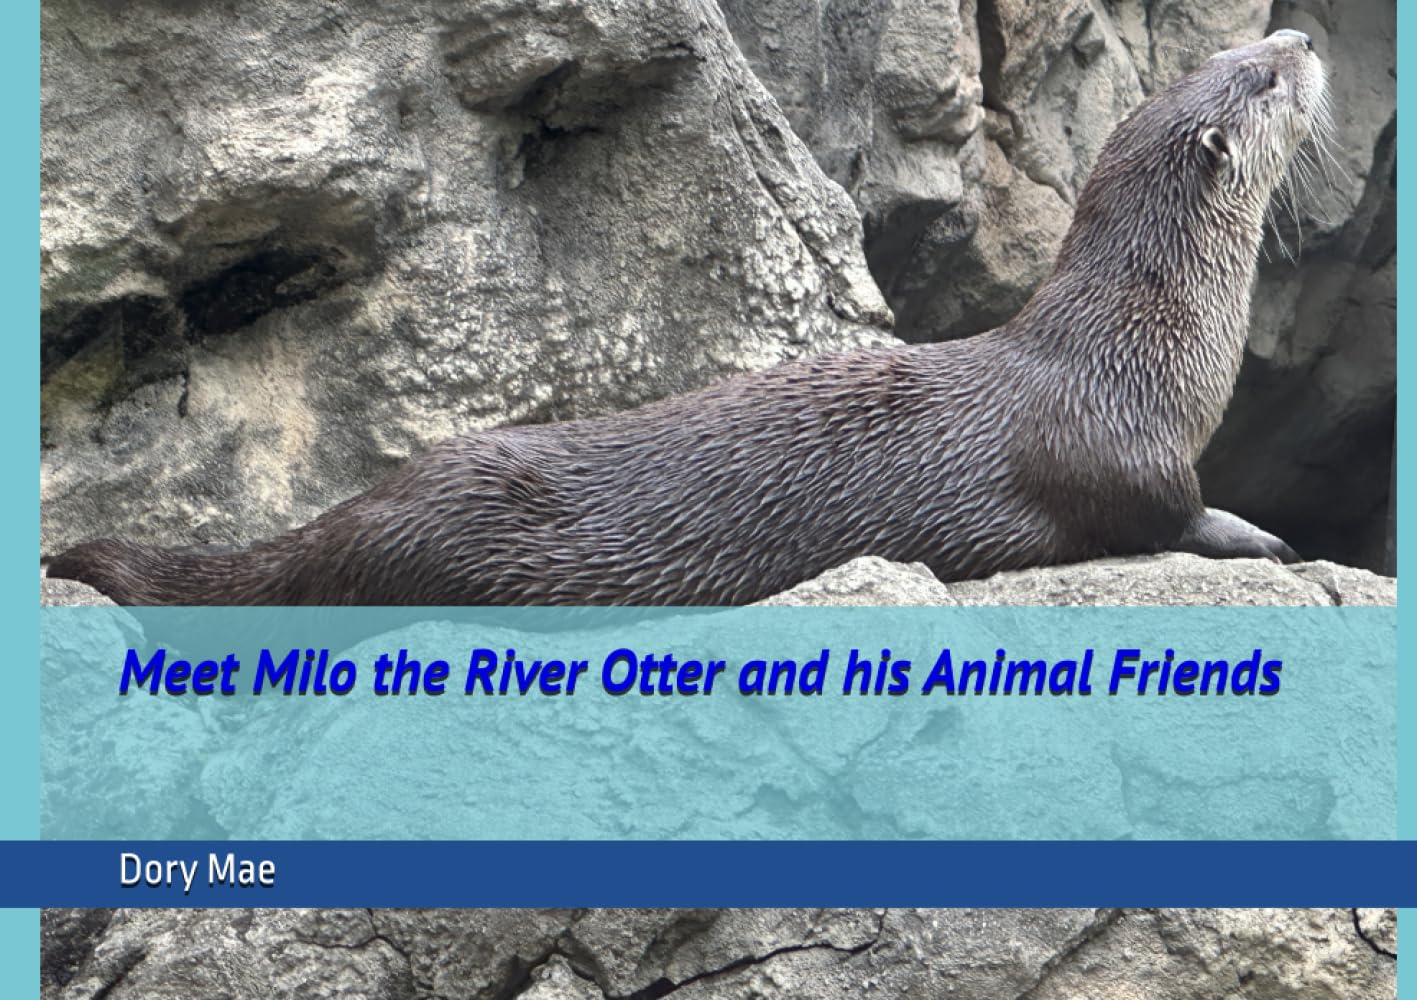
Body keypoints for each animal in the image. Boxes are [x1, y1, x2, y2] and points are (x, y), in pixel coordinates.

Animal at [50, 31, 1325, 606]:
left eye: (1244, 47)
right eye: (1262, 78)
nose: (1304, 36)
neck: (1144, 339)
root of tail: (365, 506)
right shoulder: (1117, 449)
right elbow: (1164, 511)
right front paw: (1258, 535)